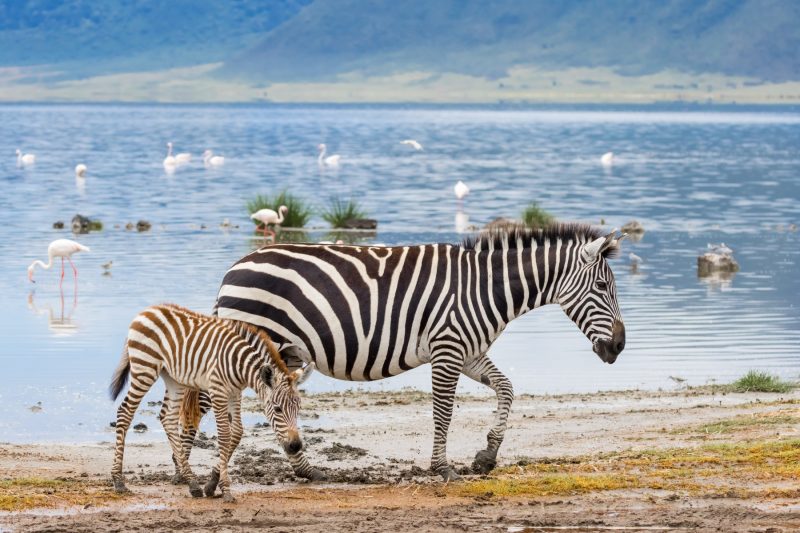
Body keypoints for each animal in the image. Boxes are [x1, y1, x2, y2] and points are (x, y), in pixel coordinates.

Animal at [108, 303, 313, 502]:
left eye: (298, 409)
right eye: (278, 409)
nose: (295, 446)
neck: (239, 364)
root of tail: (148, 310)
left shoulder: (235, 393)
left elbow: (237, 433)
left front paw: (212, 484)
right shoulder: (218, 392)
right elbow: (224, 436)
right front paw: (226, 490)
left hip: (174, 378)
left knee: (168, 418)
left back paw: (192, 484)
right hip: (145, 368)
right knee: (125, 412)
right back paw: (118, 481)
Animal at [197, 224, 626, 481]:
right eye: (602, 287)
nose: (620, 346)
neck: (486, 289)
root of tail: (234, 267)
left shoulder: (469, 352)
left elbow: (506, 388)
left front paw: (487, 455)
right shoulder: (448, 348)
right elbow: (443, 412)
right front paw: (443, 468)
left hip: (280, 353)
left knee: (273, 407)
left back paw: (306, 471)